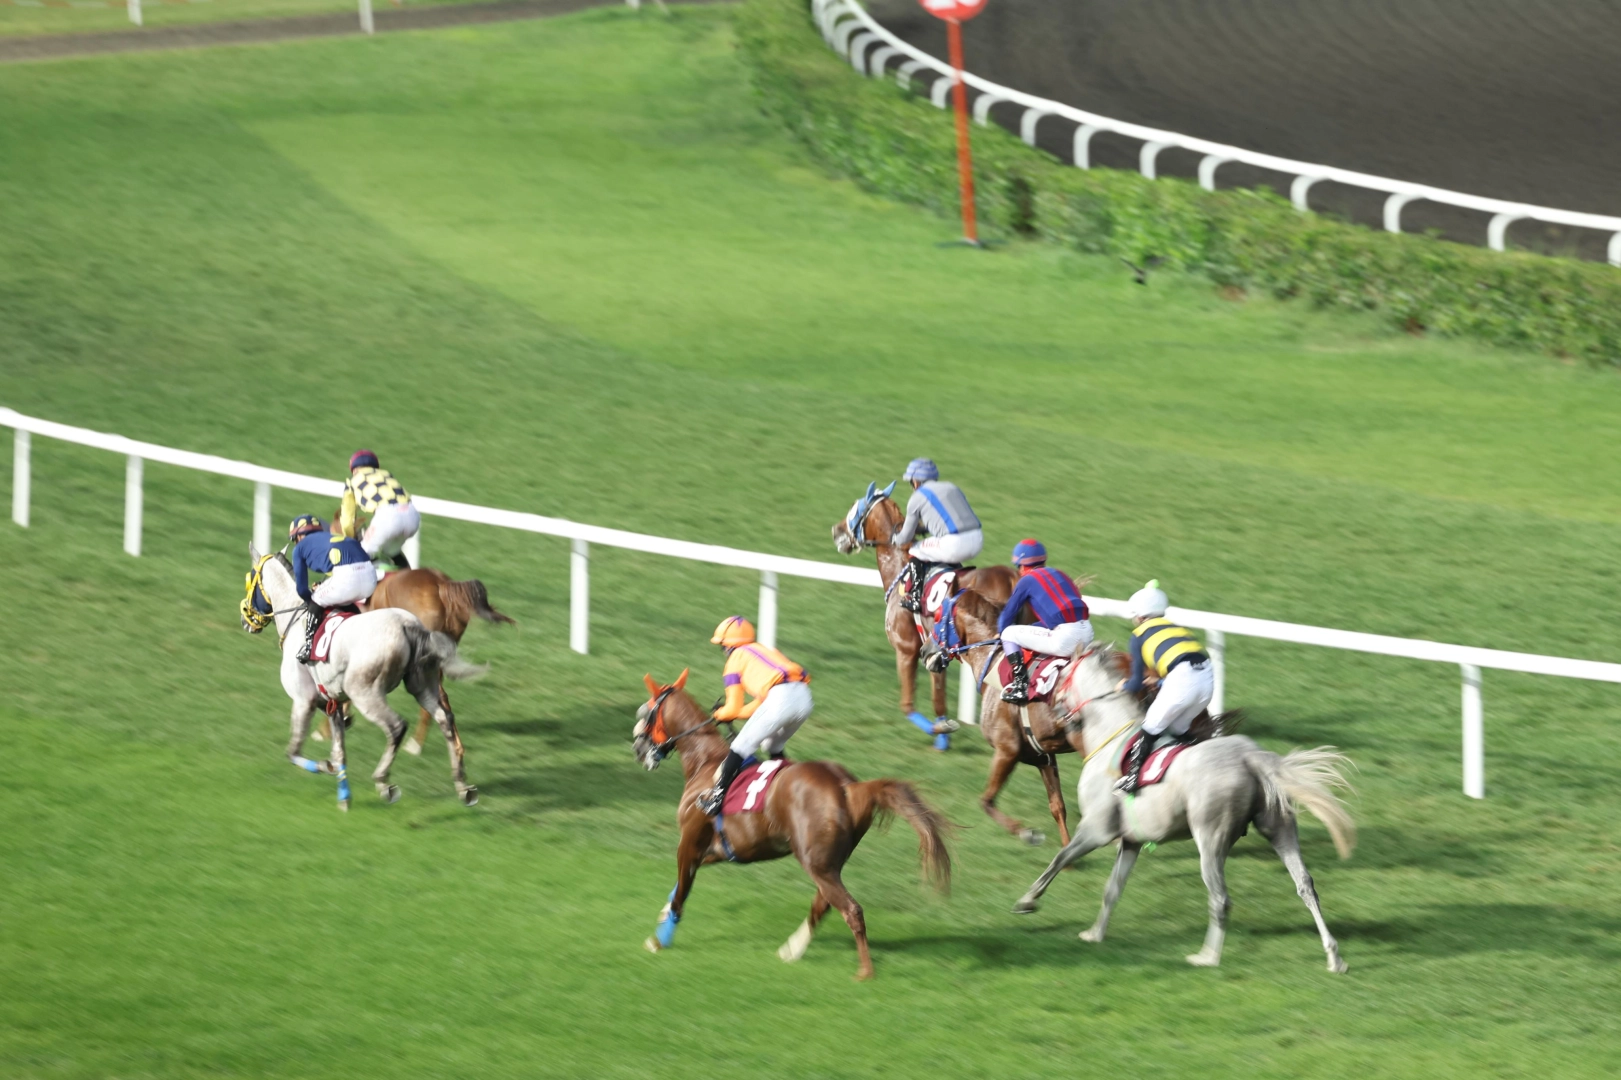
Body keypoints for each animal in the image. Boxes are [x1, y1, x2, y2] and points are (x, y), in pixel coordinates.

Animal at [239, 548, 479, 807]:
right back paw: (462, 785)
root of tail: (408, 626)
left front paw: (325, 767)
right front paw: (344, 795)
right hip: (422, 683)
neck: (296, 619)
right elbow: (339, 751)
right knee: (444, 718)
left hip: (364, 692)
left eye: (249, 579)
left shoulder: (304, 701)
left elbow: (293, 752)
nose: (245, 620)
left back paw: (384, 781)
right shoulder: (331, 704)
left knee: (397, 726)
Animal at [625, 668, 946, 979]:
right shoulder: (717, 849)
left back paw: (865, 971)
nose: (637, 749)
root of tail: (848, 787)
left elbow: (682, 891)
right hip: (828, 862)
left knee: (851, 909)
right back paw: (792, 949)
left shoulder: (690, 841)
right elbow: (681, 885)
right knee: (824, 904)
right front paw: (663, 913)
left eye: (644, 711)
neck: (706, 763)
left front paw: (658, 940)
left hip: (815, 862)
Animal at [836, 483, 1011, 745]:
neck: (901, 570)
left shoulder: (906, 649)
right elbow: (939, 698)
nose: (836, 531)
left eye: (855, 508)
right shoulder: (934, 650)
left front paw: (940, 731)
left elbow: (908, 705)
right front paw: (943, 735)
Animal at [1011, 642, 1355, 972]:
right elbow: (1112, 889)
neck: (1111, 740)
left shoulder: (1097, 829)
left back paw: (1207, 957)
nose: (1052, 717)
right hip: (1279, 826)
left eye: (1060, 678)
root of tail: (1251, 757)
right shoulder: (1131, 840)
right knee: (1306, 885)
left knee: (1221, 898)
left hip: (1210, 838)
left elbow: (1060, 858)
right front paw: (1095, 933)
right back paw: (1334, 957)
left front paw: (1026, 901)